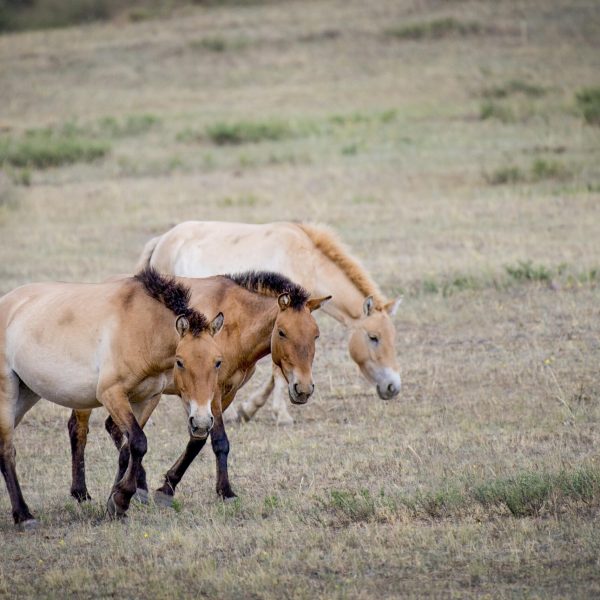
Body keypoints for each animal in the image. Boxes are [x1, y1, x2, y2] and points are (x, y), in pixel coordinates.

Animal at [0, 270, 225, 528]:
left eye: (218, 361)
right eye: (180, 362)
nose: (201, 423)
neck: (142, 328)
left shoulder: (146, 399)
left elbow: (127, 449)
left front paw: (116, 502)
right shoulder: (111, 394)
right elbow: (139, 442)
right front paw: (122, 498)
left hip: (26, 394)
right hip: (7, 393)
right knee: (6, 450)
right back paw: (24, 516)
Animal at [71, 270, 332, 508]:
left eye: (316, 335)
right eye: (282, 332)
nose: (303, 389)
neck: (235, 324)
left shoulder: (225, 395)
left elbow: (198, 439)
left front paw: (166, 486)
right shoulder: (211, 394)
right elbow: (218, 441)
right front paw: (225, 491)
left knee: (115, 429)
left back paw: (136, 486)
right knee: (78, 429)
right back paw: (81, 492)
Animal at [137, 221, 404, 426]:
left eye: (394, 339)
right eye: (373, 337)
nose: (393, 386)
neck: (306, 259)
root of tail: (162, 240)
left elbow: (279, 370)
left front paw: (248, 409)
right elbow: (278, 372)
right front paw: (281, 414)